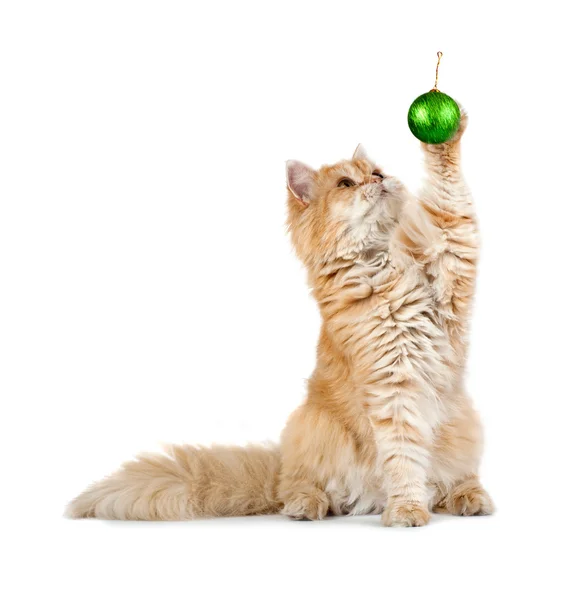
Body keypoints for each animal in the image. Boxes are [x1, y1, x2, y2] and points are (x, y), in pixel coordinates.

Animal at [65, 111, 492, 524]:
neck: (383, 261)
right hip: (314, 427)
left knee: (455, 479)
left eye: (375, 170)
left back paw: (470, 498)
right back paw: (306, 506)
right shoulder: (394, 385)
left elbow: (450, 198)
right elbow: (403, 461)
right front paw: (406, 511)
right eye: (345, 183)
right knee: (298, 485)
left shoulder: (452, 256)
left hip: (462, 423)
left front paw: (446, 137)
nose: (379, 179)